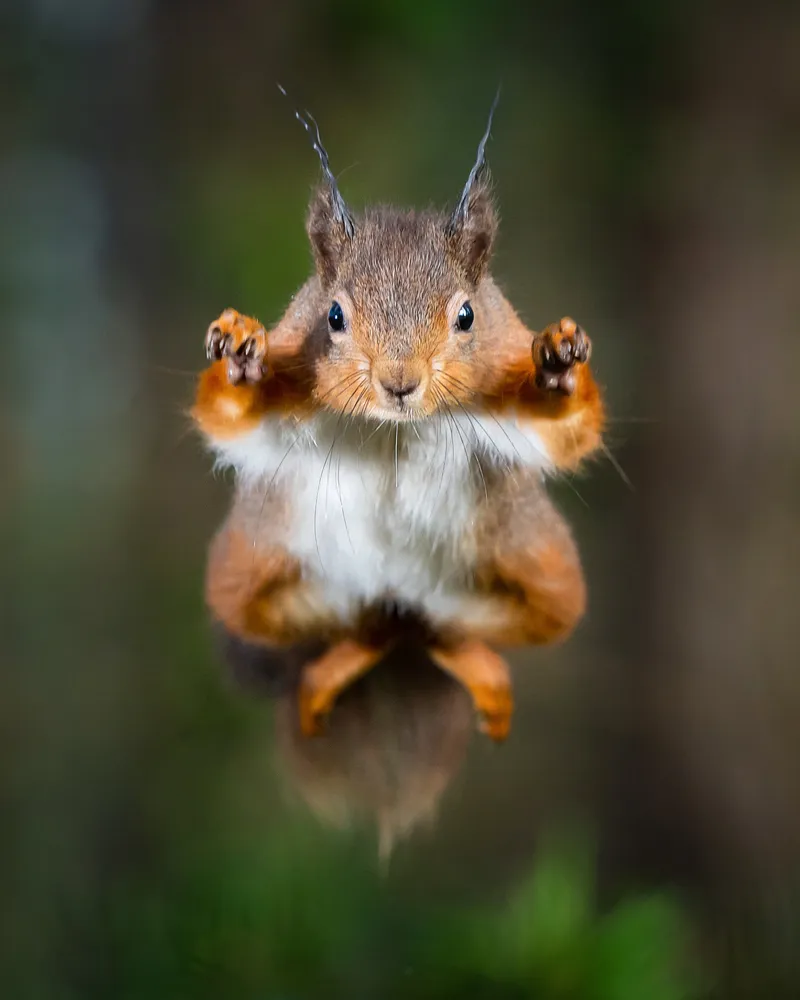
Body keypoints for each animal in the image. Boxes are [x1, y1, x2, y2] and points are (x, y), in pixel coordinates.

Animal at [191, 100, 604, 744]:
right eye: (333, 315)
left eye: (467, 315)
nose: (399, 381)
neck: (395, 426)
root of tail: (398, 598)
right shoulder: (295, 366)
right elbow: (228, 420)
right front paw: (239, 357)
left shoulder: (499, 371)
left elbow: (566, 433)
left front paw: (559, 365)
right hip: (248, 571)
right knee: (358, 625)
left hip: (540, 568)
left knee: (448, 626)